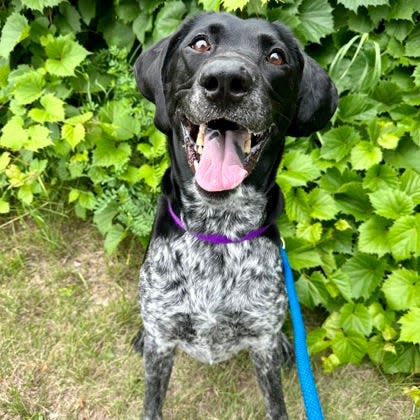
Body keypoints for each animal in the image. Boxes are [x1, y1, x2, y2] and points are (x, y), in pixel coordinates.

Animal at [133, 12, 336, 420]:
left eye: (276, 56)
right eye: (199, 43)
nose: (226, 81)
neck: (218, 231)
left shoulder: (262, 341)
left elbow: (277, 404)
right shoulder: (161, 341)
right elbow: (152, 403)